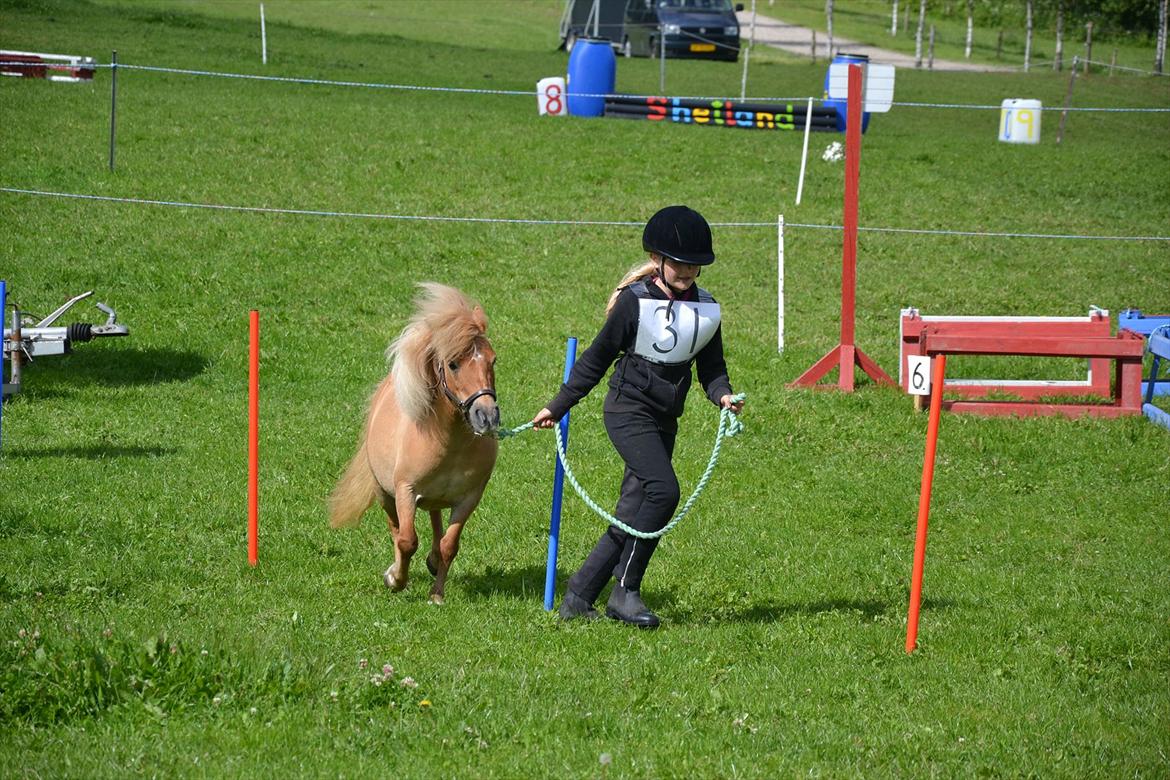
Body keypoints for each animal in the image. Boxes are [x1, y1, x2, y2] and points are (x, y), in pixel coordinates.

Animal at [327, 284, 500, 608]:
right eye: (453, 364)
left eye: (493, 360)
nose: (486, 416)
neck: (450, 444)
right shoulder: (406, 492)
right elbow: (407, 541)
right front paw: (396, 580)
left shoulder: (469, 499)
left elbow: (449, 545)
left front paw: (437, 595)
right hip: (385, 494)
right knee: (397, 529)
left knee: (434, 520)